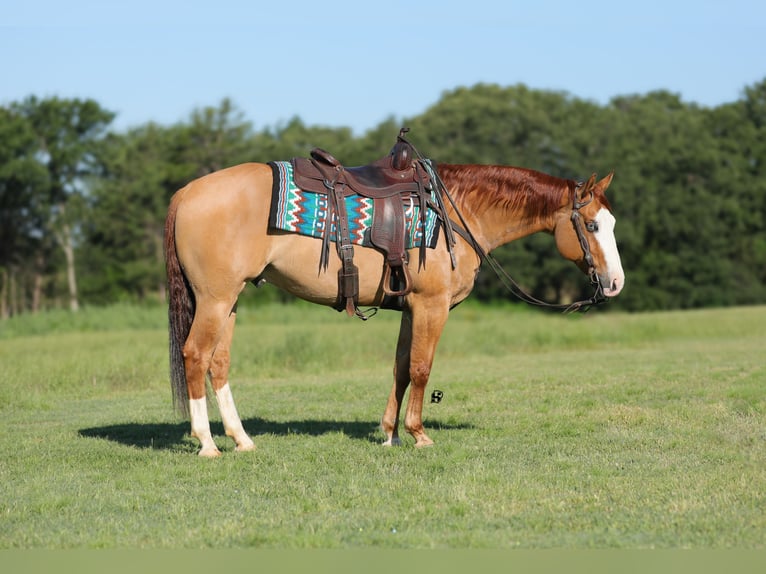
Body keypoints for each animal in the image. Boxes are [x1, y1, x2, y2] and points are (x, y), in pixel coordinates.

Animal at [165, 148, 628, 460]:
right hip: (215, 299)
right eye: (592, 225)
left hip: (229, 301)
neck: (454, 212)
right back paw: (206, 443)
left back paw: (241, 439)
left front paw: (390, 434)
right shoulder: (430, 306)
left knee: (218, 363)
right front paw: (418, 434)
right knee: (195, 356)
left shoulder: (410, 308)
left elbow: (401, 368)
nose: (615, 283)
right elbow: (422, 368)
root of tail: (186, 192)